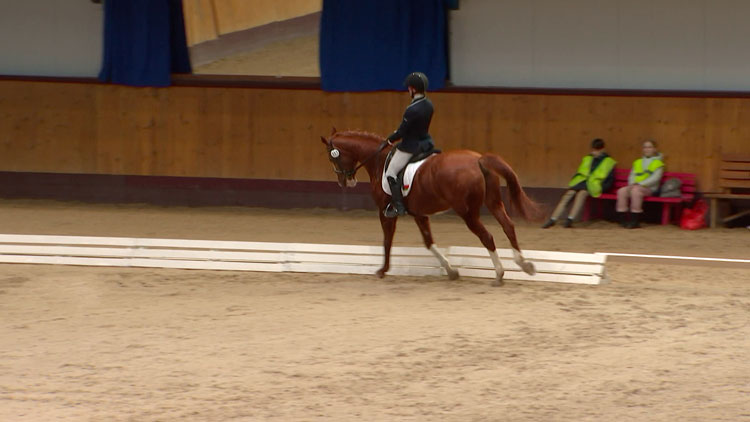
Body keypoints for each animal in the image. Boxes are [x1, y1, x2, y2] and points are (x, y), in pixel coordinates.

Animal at [320, 129, 544, 286]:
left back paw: (499, 273)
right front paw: (451, 271)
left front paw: (383, 270)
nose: (345, 181)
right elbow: (428, 242)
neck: (379, 160)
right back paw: (524, 264)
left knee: (487, 237)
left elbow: (387, 240)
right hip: (493, 203)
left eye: (332, 156)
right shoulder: (419, 214)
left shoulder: (386, 211)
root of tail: (478, 159)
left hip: (467, 213)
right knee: (508, 226)